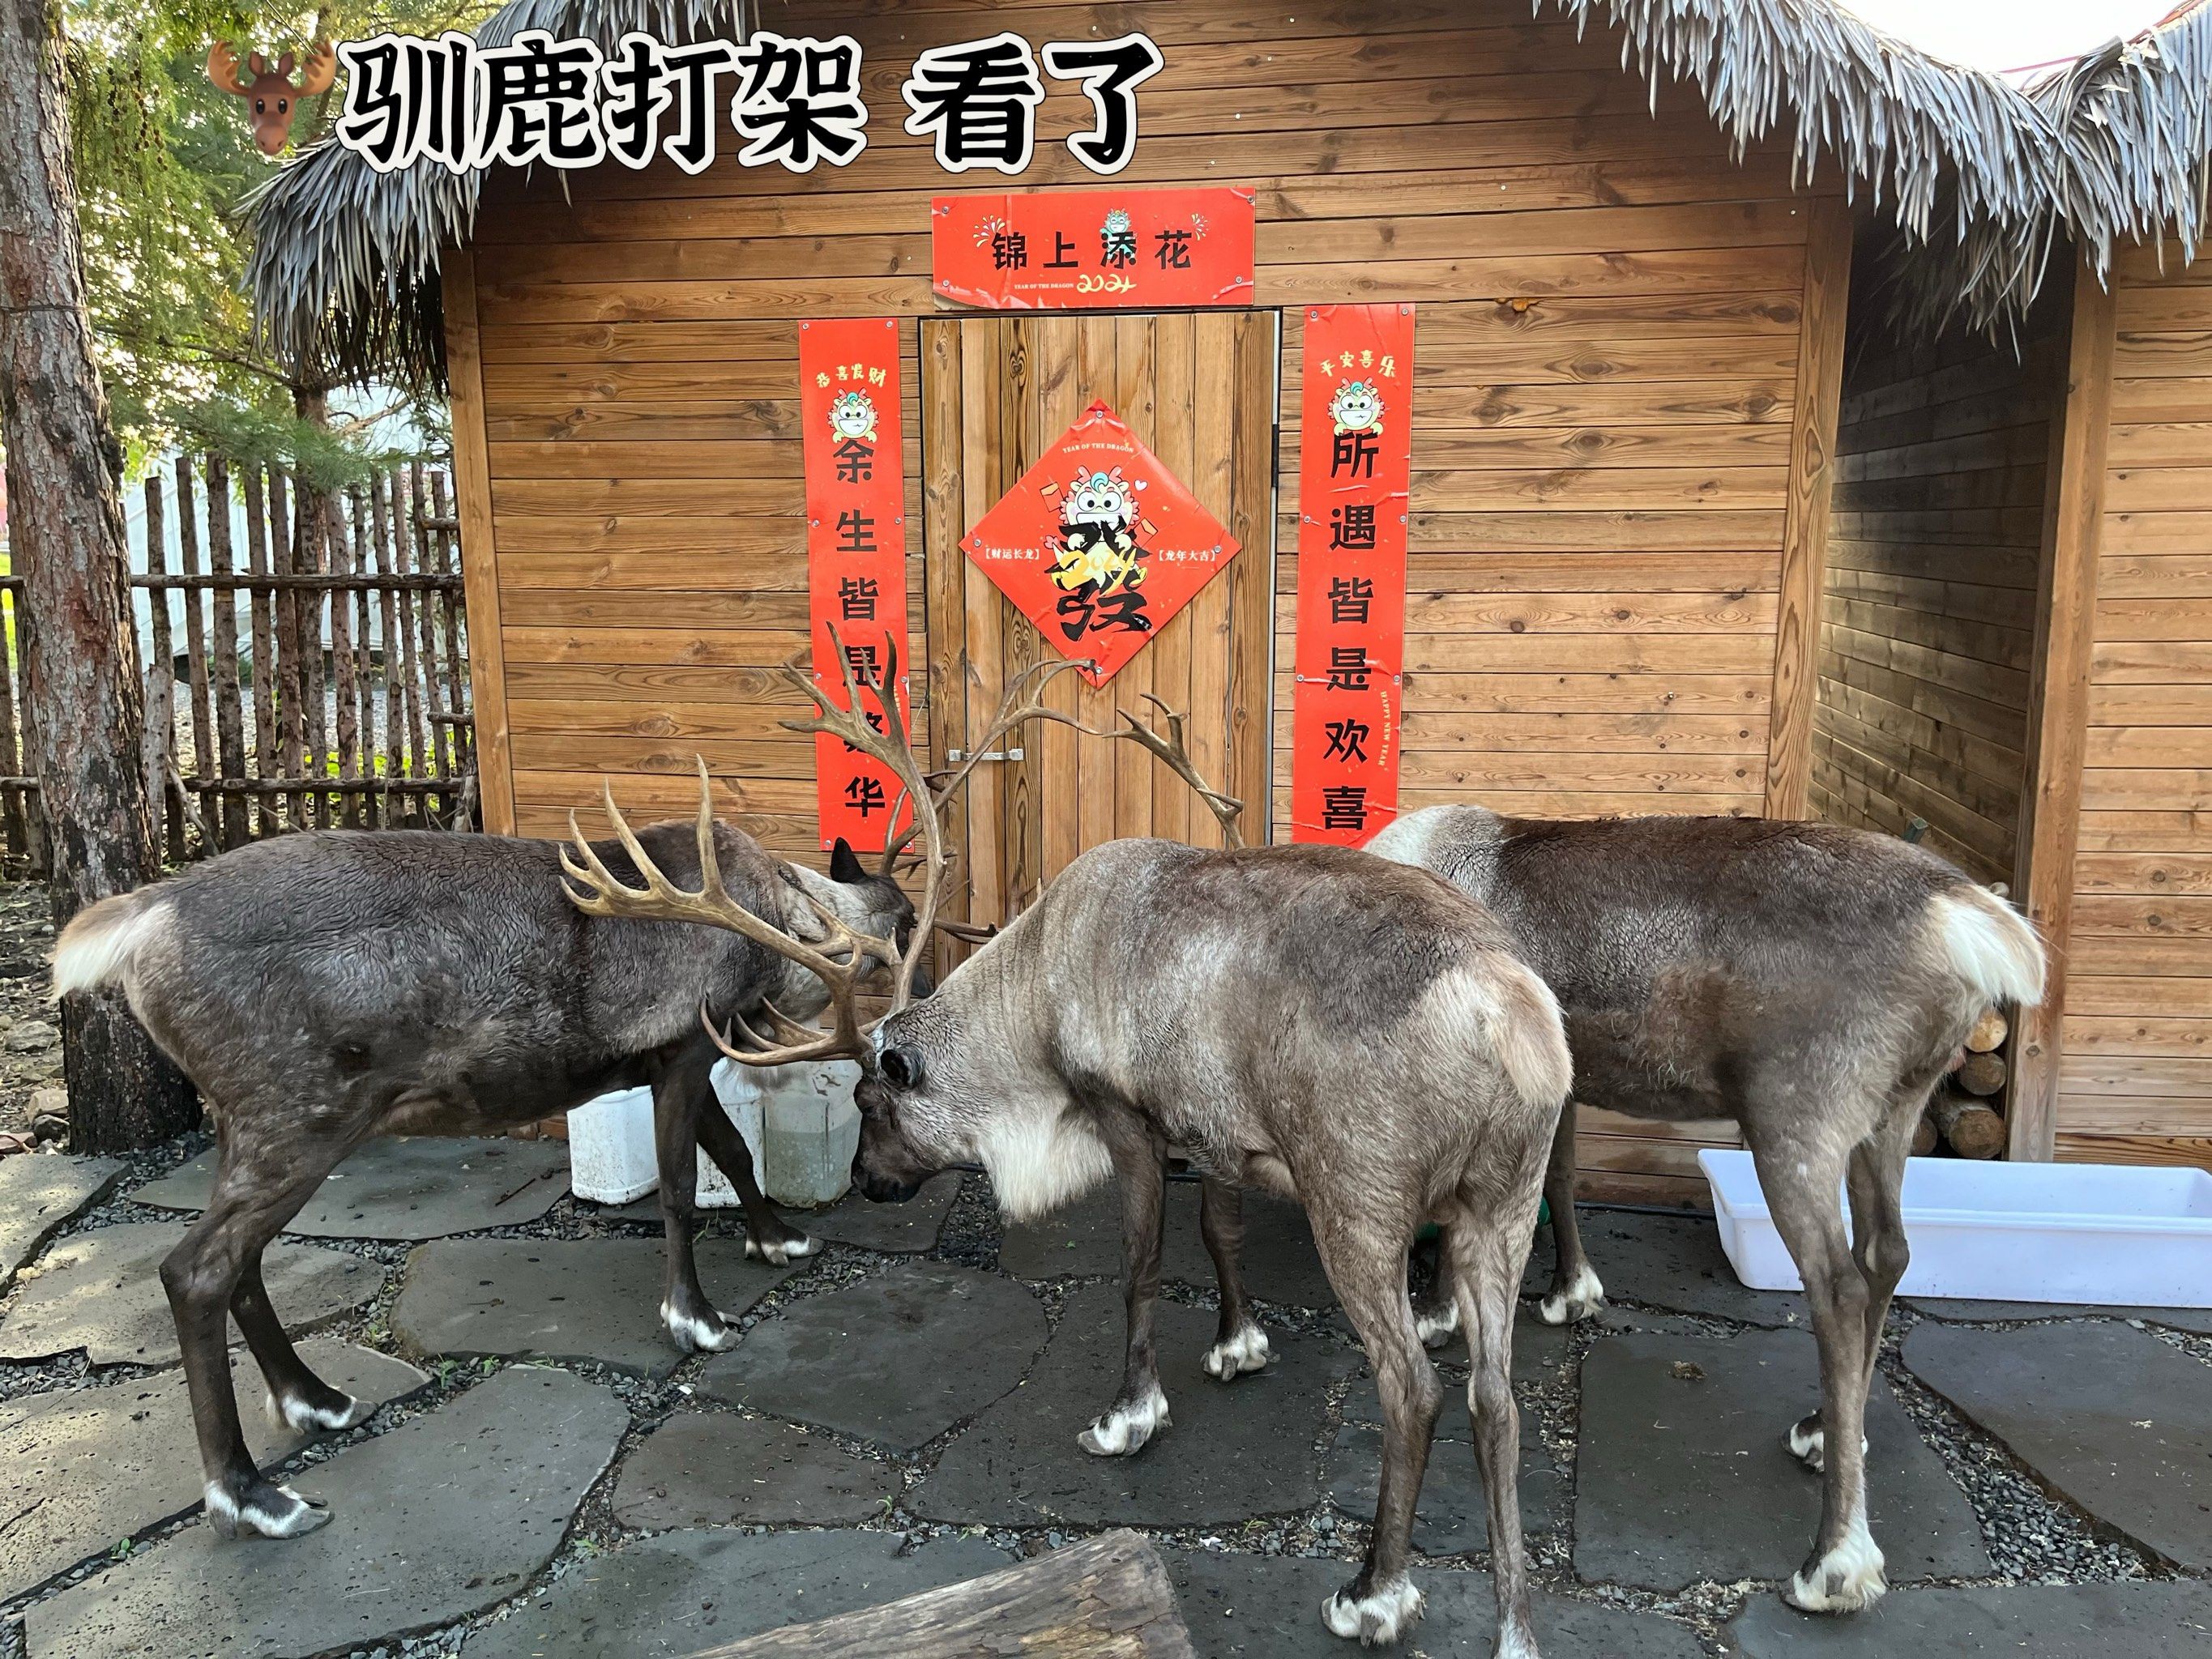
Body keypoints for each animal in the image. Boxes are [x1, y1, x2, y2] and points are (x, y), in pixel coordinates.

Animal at [47, 641, 1076, 1544]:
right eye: (904, 936)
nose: (928, 1014)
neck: (768, 935)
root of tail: (139, 918)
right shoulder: (681, 1046)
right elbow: (678, 1185)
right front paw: (695, 1316)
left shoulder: (677, 1060)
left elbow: (734, 1152)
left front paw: (778, 1235)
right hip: (296, 1111)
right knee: (195, 1268)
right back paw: (252, 1492)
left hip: (249, 1119)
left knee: (240, 1260)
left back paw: (317, 1397)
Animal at [562, 638, 1573, 1655]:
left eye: (869, 1097)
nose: (867, 1181)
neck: (1036, 994)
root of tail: (1507, 1006)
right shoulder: (1217, 1133)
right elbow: (1220, 1236)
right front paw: (1238, 1343)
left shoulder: (1125, 1114)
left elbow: (1140, 1263)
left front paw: (1129, 1415)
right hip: (1501, 1203)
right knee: (1497, 1398)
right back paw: (1516, 1626)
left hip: (1356, 1201)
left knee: (1414, 1391)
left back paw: (1373, 1593)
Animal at [1189, 804, 2044, 1620]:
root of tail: (1974, 919)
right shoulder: (1557, 1073)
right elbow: (1563, 1177)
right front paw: (1572, 1290)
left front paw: (1437, 1310)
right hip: (1895, 1111)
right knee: (1890, 1252)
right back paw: (1827, 1431)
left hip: (1798, 1117)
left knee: (1839, 1287)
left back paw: (1834, 1562)